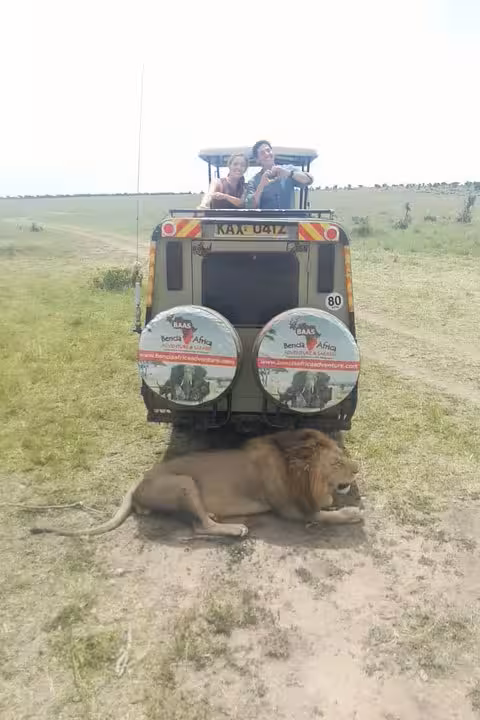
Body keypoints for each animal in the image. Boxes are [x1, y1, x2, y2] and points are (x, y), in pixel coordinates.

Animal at [30, 429, 363, 539]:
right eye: (336, 462)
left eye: (342, 455)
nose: (358, 470)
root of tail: (140, 481)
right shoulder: (289, 509)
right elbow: (324, 515)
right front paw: (352, 513)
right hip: (184, 483)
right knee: (199, 527)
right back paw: (234, 529)